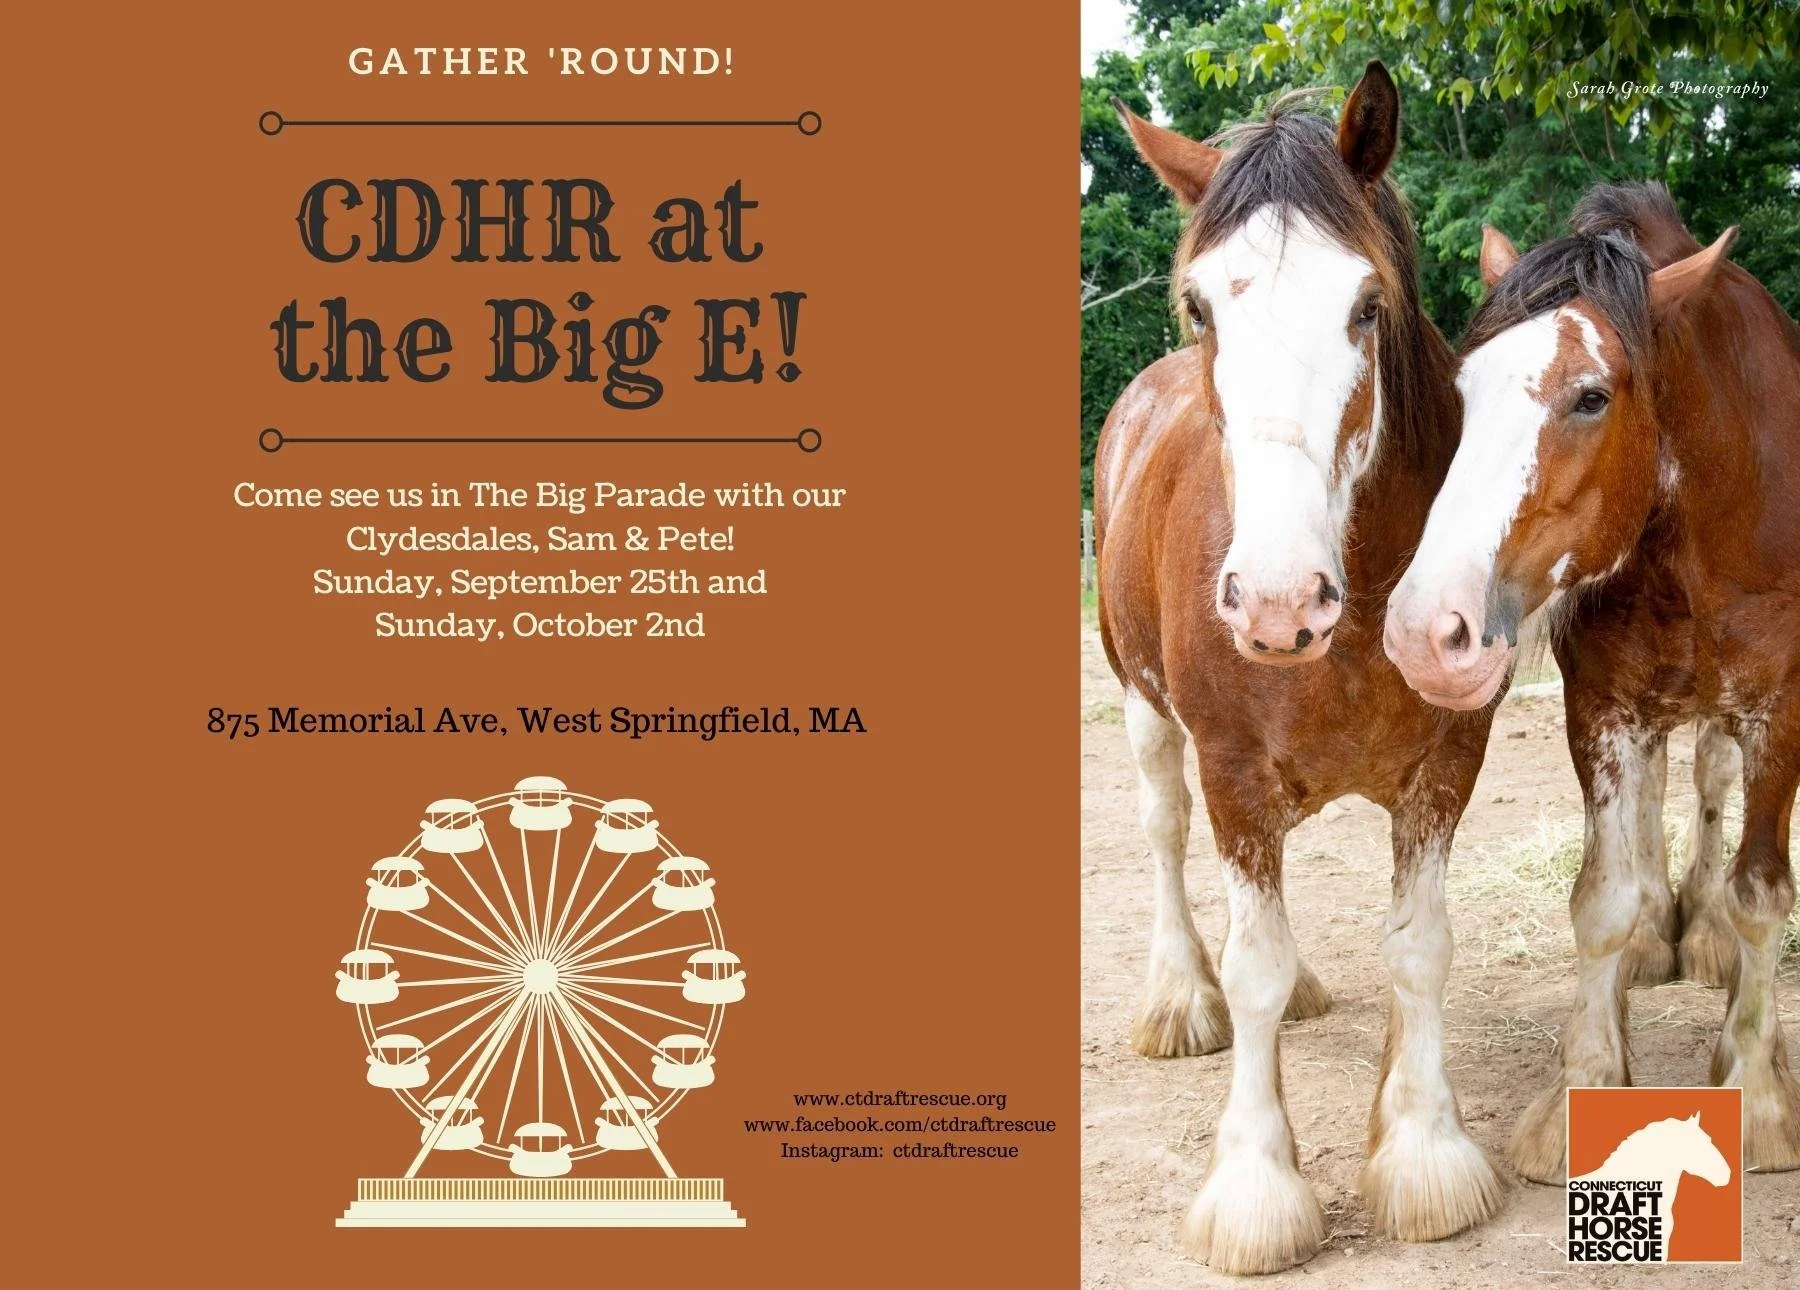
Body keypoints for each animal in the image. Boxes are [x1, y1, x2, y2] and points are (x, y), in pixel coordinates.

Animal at [1096, 63, 1505, 1274]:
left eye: (1366, 306)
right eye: (1200, 307)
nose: (1279, 602)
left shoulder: (1446, 768)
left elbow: (1419, 949)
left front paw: (1420, 1151)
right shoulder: (1233, 774)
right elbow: (1253, 973)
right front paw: (1256, 1189)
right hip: (1145, 713)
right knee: (1167, 840)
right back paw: (1178, 996)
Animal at [1383, 181, 1800, 1182]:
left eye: (1591, 397)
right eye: (1463, 392)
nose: (1427, 632)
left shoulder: (1782, 713)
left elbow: (1762, 896)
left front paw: (1759, 1091)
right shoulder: (1603, 709)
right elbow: (1601, 901)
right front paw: (1585, 1085)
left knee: (1710, 787)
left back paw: (1706, 941)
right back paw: (1660, 932)